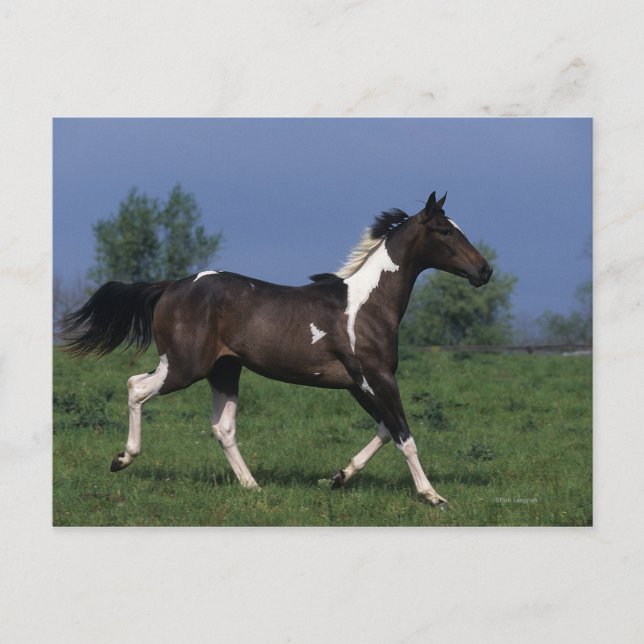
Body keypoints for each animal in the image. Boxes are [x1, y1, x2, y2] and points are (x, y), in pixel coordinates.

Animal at [60, 191, 492, 507]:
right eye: (445, 231)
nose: (484, 271)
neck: (367, 305)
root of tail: (170, 286)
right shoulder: (376, 377)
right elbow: (404, 434)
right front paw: (433, 496)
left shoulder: (358, 383)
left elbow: (385, 429)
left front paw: (338, 477)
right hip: (184, 367)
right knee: (136, 386)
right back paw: (122, 459)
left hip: (224, 370)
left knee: (222, 427)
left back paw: (252, 486)